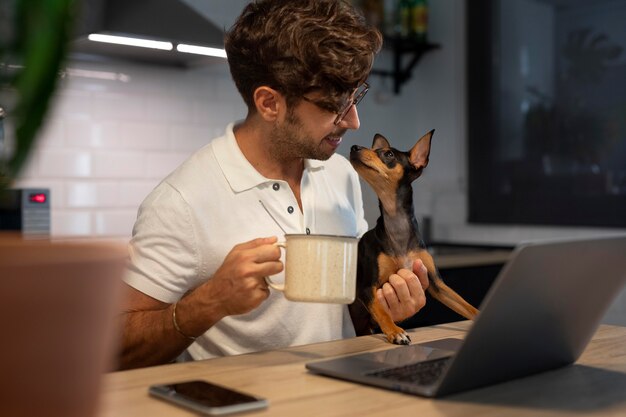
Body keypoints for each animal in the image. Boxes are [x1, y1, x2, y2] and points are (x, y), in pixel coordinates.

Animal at [348, 131, 476, 344]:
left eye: (388, 154)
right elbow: (383, 311)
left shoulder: (437, 284)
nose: (353, 147)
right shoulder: (367, 288)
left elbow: (465, 304)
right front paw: (395, 331)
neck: (397, 226)